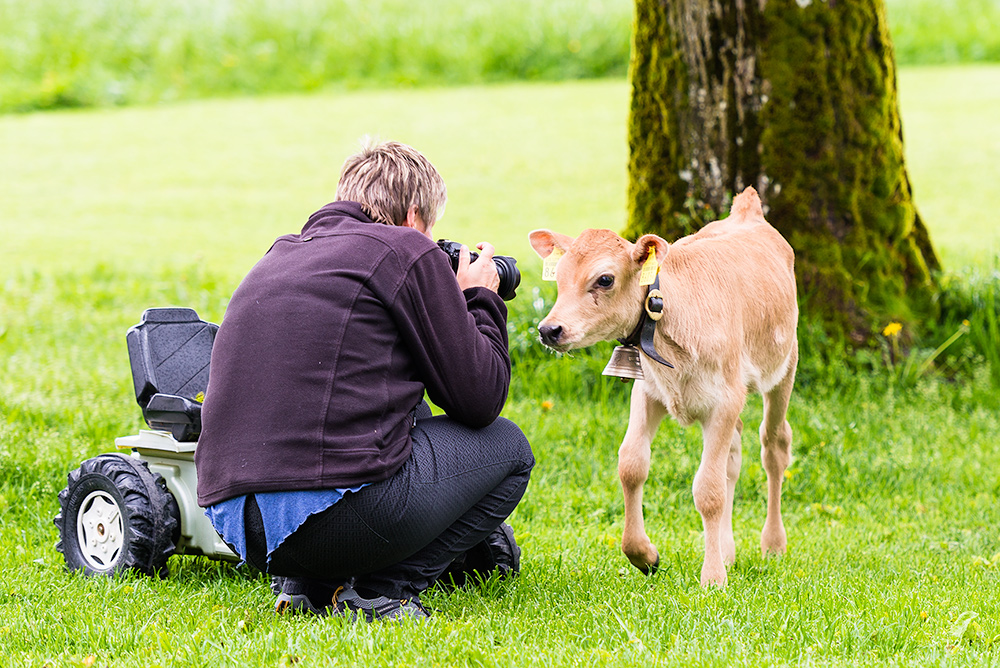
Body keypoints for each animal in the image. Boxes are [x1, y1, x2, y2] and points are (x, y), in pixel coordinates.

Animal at [532, 187, 796, 584]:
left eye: (605, 279)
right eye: (559, 277)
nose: (549, 329)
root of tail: (746, 210)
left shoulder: (724, 399)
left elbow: (708, 490)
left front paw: (713, 577)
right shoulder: (648, 391)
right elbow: (631, 465)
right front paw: (644, 555)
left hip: (783, 367)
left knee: (774, 445)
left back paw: (773, 544)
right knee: (733, 456)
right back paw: (728, 549)